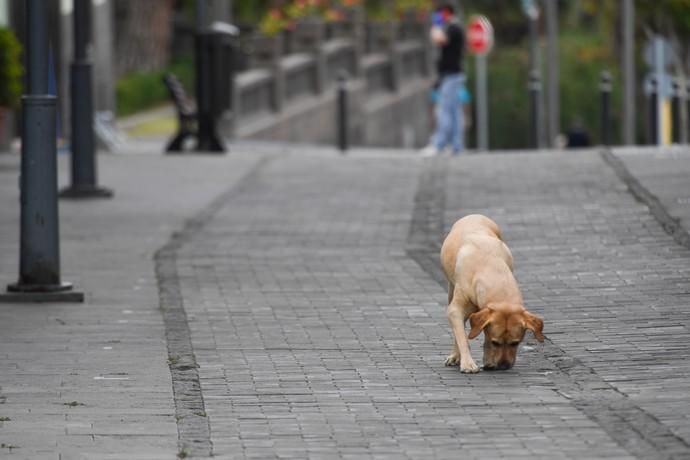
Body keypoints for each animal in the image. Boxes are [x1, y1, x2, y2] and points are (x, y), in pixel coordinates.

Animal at [440, 214, 544, 372]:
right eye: (496, 342)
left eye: (515, 343)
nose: (504, 366)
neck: (492, 270)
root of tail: (474, 215)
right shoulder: (455, 309)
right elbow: (462, 337)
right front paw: (468, 363)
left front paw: (488, 360)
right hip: (451, 289)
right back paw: (455, 356)